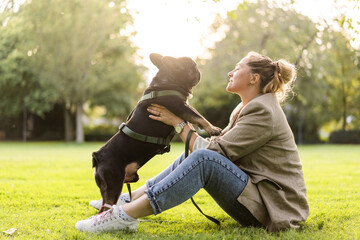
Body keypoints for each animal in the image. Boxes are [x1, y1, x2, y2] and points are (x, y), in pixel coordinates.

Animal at [91, 53, 221, 213]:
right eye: (193, 65)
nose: (199, 69)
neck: (167, 81)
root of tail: (97, 157)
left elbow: (197, 117)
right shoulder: (181, 107)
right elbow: (199, 116)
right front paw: (213, 129)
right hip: (113, 183)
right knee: (106, 207)